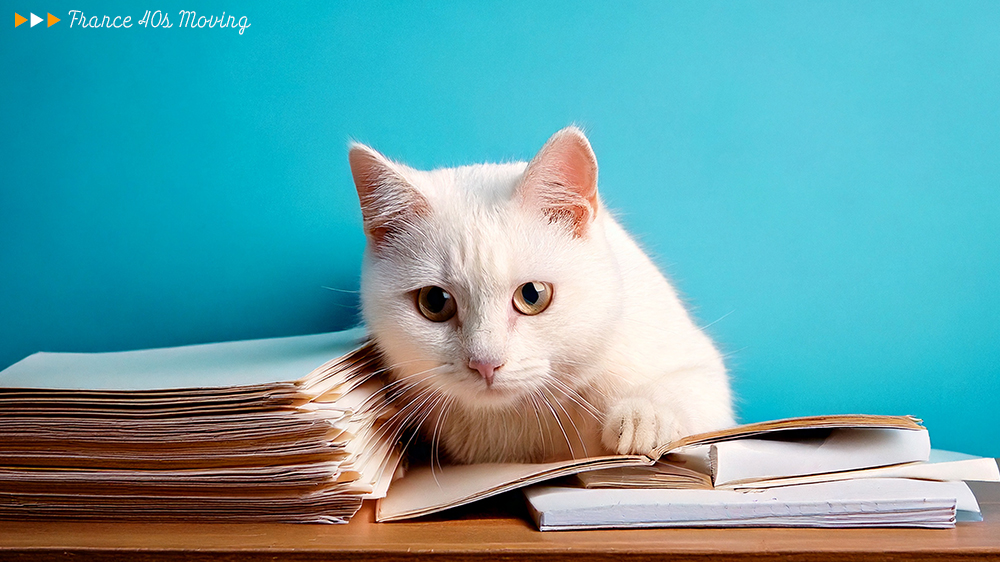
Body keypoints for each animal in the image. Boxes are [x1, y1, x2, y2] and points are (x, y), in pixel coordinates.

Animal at [350, 128, 736, 464]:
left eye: (533, 296)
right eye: (434, 302)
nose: (485, 363)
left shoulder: (692, 359)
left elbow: (690, 389)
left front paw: (644, 417)